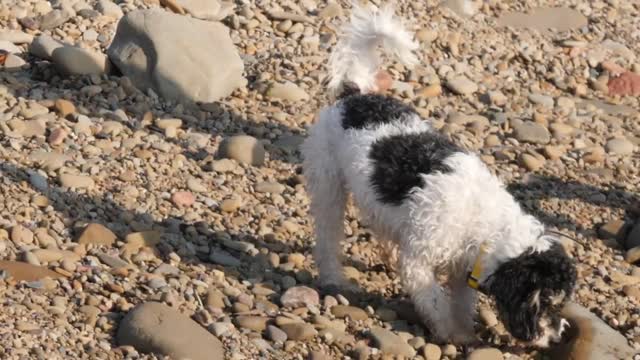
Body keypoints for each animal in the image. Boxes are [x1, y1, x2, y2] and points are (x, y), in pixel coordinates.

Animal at [302, 3, 576, 346]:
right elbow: (434, 300)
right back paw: (334, 278)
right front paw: (448, 332)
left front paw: (464, 332)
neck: (483, 222)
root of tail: (354, 95)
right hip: (328, 183)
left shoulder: (463, 268)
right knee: (328, 236)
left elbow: (461, 302)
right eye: (546, 303)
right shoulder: (419, 262)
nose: (557, 338)